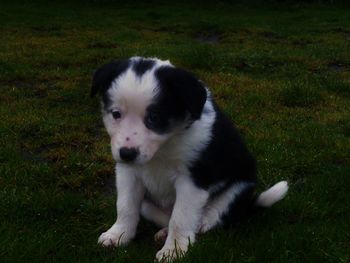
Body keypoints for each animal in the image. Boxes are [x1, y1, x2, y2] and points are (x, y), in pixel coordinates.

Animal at [91, 57, 290, 262]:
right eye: (116, 114)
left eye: (155, 117)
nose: (126, 154)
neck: (163, 148)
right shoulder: (128, 173)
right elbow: (125, 206)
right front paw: (118, 235)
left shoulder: (192, 179)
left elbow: (181, 217)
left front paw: (173, 250)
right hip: (147, 204)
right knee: (166, 217)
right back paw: (163, 232)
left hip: (238, 189)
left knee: (206, 219)